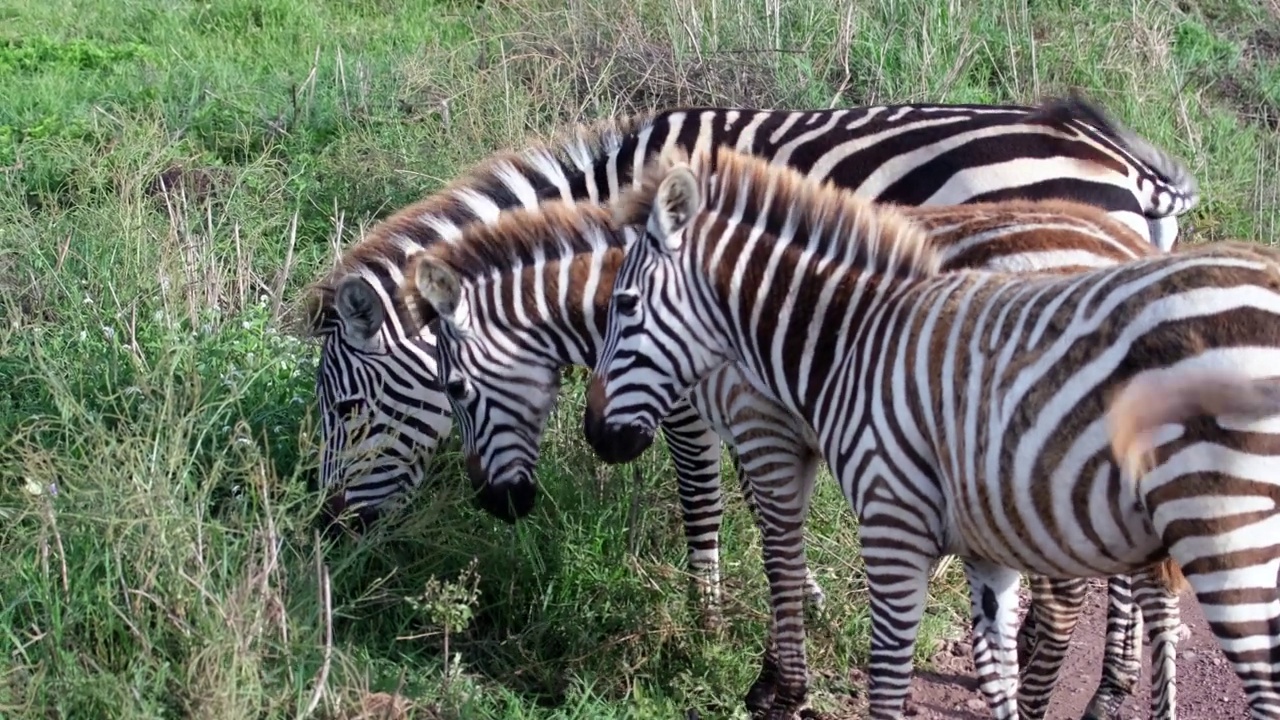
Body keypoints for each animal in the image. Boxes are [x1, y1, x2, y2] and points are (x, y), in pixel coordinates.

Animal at [586, 147, 1280, 717]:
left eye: (625, 304)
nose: (596, 433)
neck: (843, 336)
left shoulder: (773, 439)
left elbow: (754, 536)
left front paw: (760, 669)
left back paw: (1104, 689)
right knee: (1151, 592)